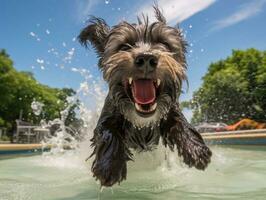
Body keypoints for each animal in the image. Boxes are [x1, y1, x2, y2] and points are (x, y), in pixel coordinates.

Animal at [78, 6, 211, 188]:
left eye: (164, 43)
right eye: (124, 46)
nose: (147, 57)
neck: (142, 121)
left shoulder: (170, 109)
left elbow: (180, 122)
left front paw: (195, 149)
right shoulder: (109, 112)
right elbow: (107, 130)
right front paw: (109, 165)